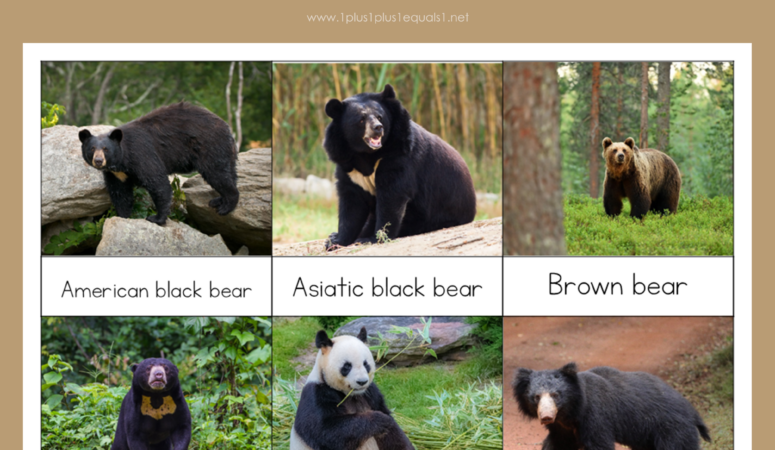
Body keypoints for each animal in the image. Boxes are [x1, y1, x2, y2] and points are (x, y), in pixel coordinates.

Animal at [78, 102, 239, 225]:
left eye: (106, 149)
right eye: (92, 148)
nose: (98, 161)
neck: (122, 161)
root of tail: (227, 128)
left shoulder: (141, 154)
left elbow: (157, 183)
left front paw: (156, 218)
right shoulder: (116, 174)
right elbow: (120, 193)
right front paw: (123, 216)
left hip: (209, 147)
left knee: (216, 173)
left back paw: (226, 206)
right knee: (228, 172)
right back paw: (219, 200)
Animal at [323, 84, 476, 250]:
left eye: (379, 117)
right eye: (361, 120)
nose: (378, 128)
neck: (366, 154)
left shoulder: (399, 157)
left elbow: (392, 196)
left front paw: (372, 238)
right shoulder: (348, 166)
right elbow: (352, 203)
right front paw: (336, 241)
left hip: (436, 213)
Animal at [513, 362, 711, 450]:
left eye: (555, 395)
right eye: (536, 397)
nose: (546, 417)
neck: (569, 414)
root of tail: (693, 413)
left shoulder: (594, 417)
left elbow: (599, 444)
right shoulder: (562, 429)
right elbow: (559, 445)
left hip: (672, 429)